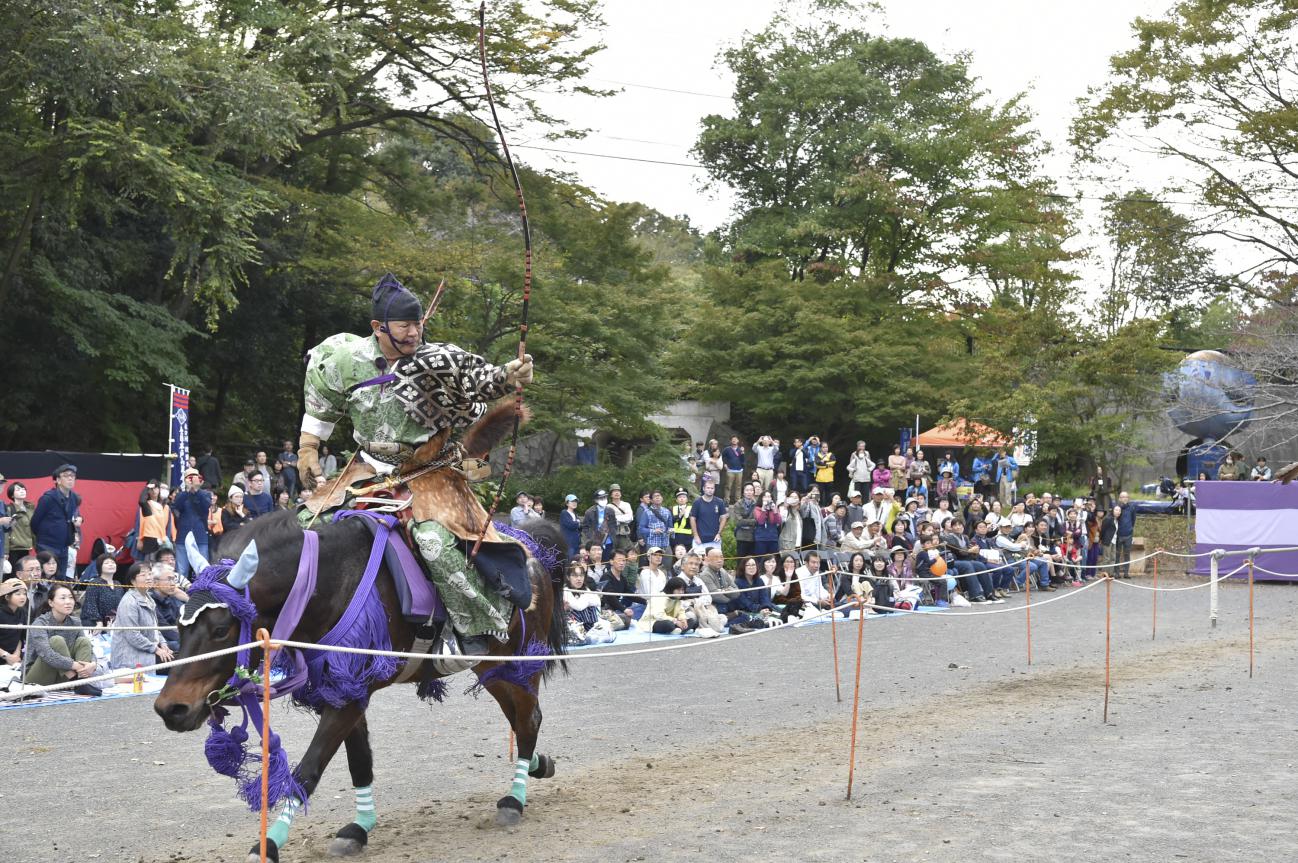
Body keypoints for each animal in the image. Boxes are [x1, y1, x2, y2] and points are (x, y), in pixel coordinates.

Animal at [150, 498, 563, 861]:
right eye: (179, 626)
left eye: (221, 630)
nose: (171, 708)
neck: (326, 583)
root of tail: (532, 550)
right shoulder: (344, 688)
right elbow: (359, 760)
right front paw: (358, 829)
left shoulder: (350, 695)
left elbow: (310, 768)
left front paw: (268, 844)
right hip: (492, 667)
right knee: (520, 717)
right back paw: (537, 764)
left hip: (520, 659)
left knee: (528, 718)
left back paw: (515, 800)